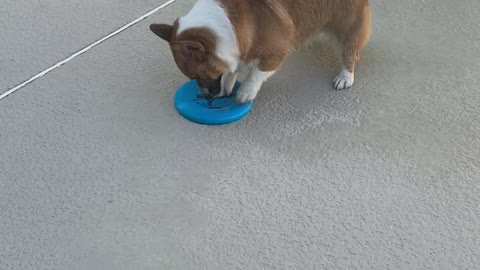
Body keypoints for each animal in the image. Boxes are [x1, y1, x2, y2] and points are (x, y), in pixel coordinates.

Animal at [150, 0, 372, 103]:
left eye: (195, 76)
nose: (206, 99)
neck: (226, 25)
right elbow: (231, 70)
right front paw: (228, 85)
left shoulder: (276, 52)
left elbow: (256, 74)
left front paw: (246, 91)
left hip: (348, 27)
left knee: (350, 52)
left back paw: (345, 77)